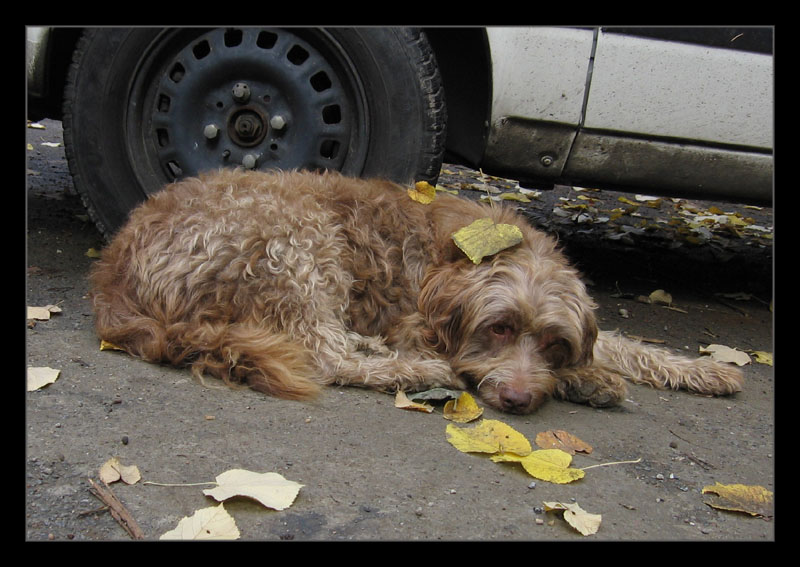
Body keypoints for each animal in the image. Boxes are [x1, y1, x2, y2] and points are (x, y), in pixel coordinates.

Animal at [89, 169, 744, 412]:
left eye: (553, 342)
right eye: (498, 328)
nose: (517, 400)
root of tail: (114, 269)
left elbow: (627, 346)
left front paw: (698, 370)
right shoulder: (416, 319)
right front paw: (587, 380)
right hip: (295, 237)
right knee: (324, 354)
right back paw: (412, 370)